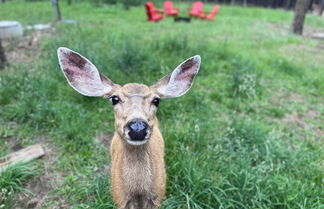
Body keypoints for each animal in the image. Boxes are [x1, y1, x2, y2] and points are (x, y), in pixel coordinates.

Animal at [57, 47, 200, 209]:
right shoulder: (119, 198)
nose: (137, 127)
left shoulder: (158, 197)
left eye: (156, 100)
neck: (138, 194)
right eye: (114, 98)